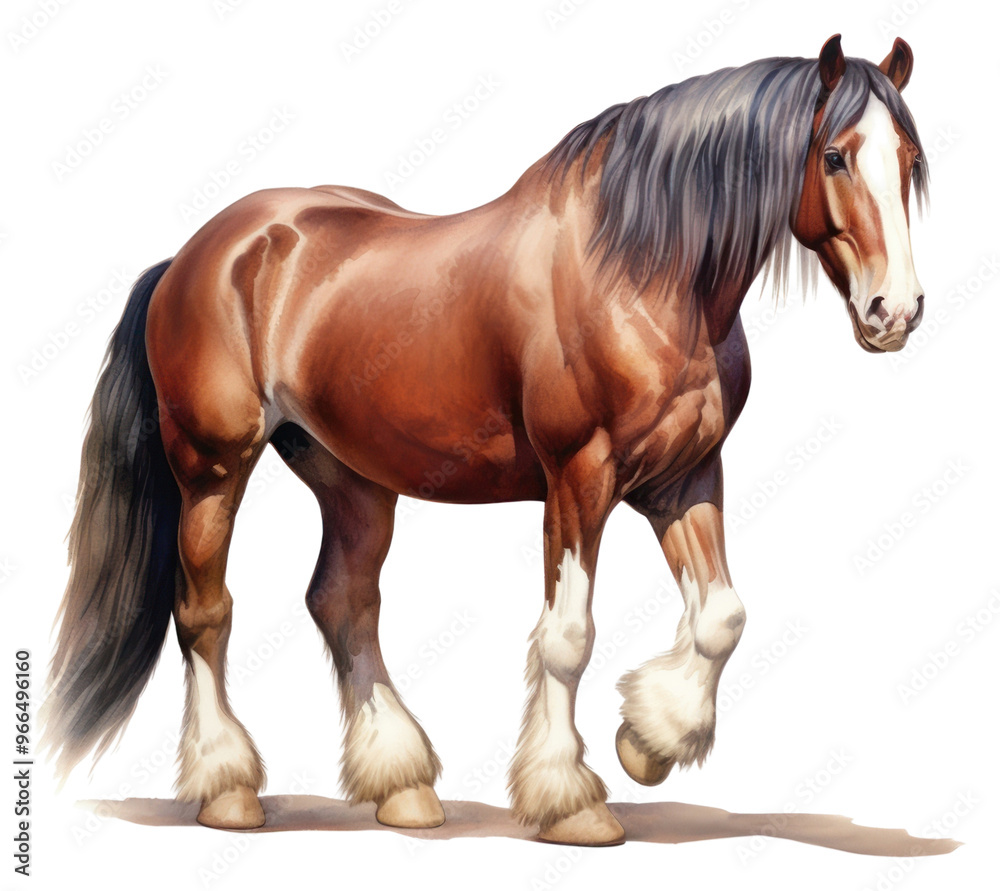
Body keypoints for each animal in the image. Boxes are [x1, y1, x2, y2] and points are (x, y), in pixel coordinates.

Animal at [42, 34, 927, 846]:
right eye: (837, 156)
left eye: (910, 158)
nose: (896, 311)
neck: (643, 271)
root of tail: (199, 253)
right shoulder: (580, 476)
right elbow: (568, 637)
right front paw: (571, 800)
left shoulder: (684, 479)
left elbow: (723, 617)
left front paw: (647, 742)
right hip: (213, 467)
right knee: (205, 611)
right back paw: (229, 788)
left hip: (350, 475)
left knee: (342, 602)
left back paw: (401, 785)